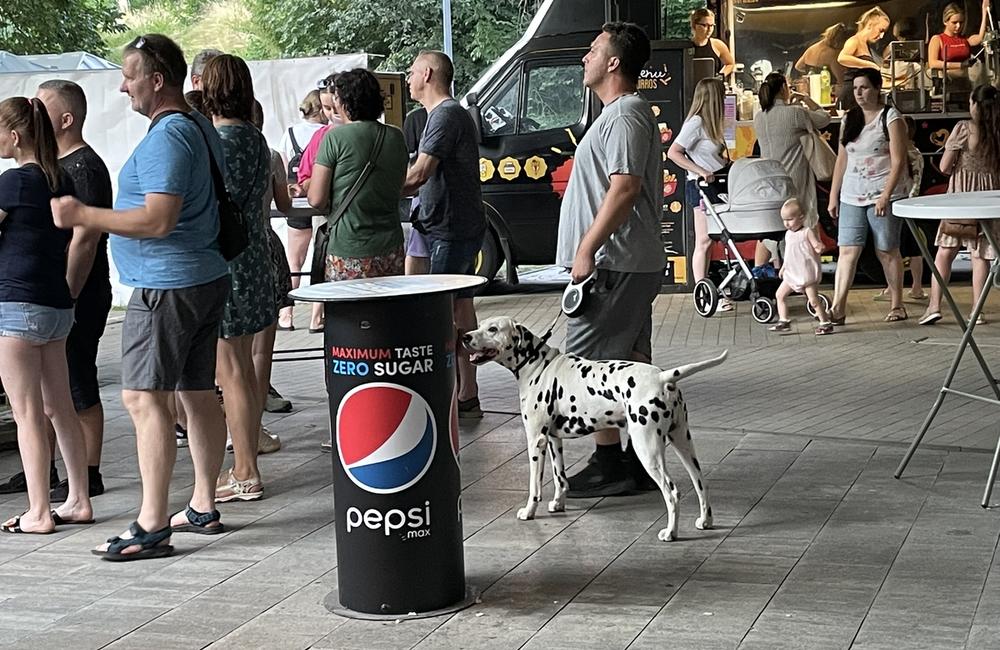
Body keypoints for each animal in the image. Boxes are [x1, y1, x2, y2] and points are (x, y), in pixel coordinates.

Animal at [460, 316, 728, 540]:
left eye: (493, 329)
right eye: (481, 325)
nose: (465, 337)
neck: (536, 365)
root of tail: (662, 377)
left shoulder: (536, 441)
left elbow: (534, 486)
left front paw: (529, 511)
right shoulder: (554, 440)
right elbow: (560, 478)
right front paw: (558, 504)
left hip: (648, 448)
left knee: (672, 493)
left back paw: (670, 533)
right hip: (683, 443)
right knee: (700, 483)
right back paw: (705, 521)